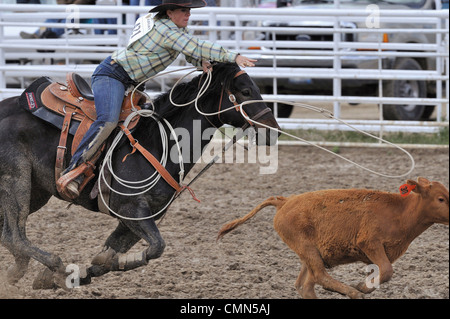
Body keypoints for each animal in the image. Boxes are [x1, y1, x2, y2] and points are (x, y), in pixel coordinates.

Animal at [0, 62, 280, 290]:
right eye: (245, 92)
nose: (273, 131)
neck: (157, 140)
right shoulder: (130, 208)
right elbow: (156, 247)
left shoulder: (137, 218)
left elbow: (112, 252)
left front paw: (88, 270)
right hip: (17, 182)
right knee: (16, 236)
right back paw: (53, 266)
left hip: (36, 192)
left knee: (8, 236)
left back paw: (19, 272)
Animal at [217, 178, 446, 300]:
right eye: (441, 199)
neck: (400, 212)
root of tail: (284, 201)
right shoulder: (369, 243)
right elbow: (387, 271)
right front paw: (361, 287)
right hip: (307, 248)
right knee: (319, 277)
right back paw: (353, 292)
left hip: (309, 254)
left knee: (305, 285)